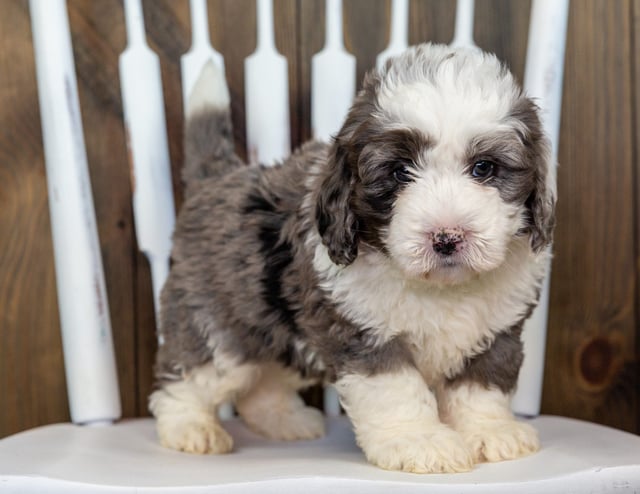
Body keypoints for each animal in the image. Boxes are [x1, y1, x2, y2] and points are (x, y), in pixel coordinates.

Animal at [151, 43, 556, 474]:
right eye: (399, 172)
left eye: (484, 168)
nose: (446, 238)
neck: (441, 289)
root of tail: (219, 180)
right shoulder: (363, 331)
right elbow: (396, 389)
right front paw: (419, 440)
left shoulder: (498, 330)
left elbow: (482, 385)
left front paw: (491, 431)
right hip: (220, 323)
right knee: (190, 377)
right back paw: (190, 427)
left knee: (263, 382)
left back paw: (284, 420)